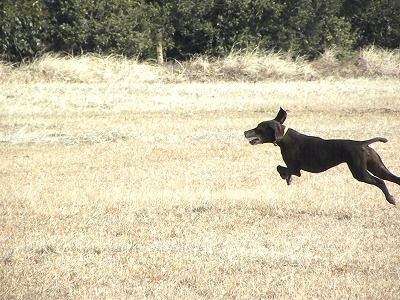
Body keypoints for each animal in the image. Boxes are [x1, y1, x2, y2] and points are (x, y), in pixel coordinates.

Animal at [245, 106, 398, 205]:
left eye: (259, 128)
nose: (245, 132)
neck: (284, 137)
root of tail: (362, 143)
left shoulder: (295, 169)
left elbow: (280, 168)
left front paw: (287, 178)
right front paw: (288, 178)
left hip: (360, 172)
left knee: (380, 182)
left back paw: (390, 199)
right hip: (377, 167)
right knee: (395, 179)